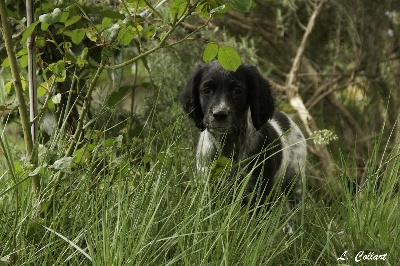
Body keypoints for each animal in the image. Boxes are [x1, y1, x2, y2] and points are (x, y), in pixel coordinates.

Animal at [181, 60, 306, 208]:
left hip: (294, 181)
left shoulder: (259, 191)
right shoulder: (208, 183)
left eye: (238, 91)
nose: (219, 114)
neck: (228, 145)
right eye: (206, 90)